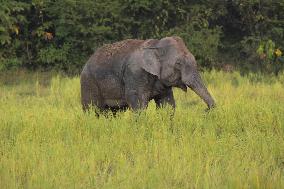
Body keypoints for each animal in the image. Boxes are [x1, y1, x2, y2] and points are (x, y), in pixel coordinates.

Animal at [80, 36, 215, 114]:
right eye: (178, 63)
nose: (206, 110)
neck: (156, 45)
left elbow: (167, 104)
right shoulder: (135, 74)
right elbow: (139, 104)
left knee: (113, 113)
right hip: (89, 83)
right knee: (93, 110)